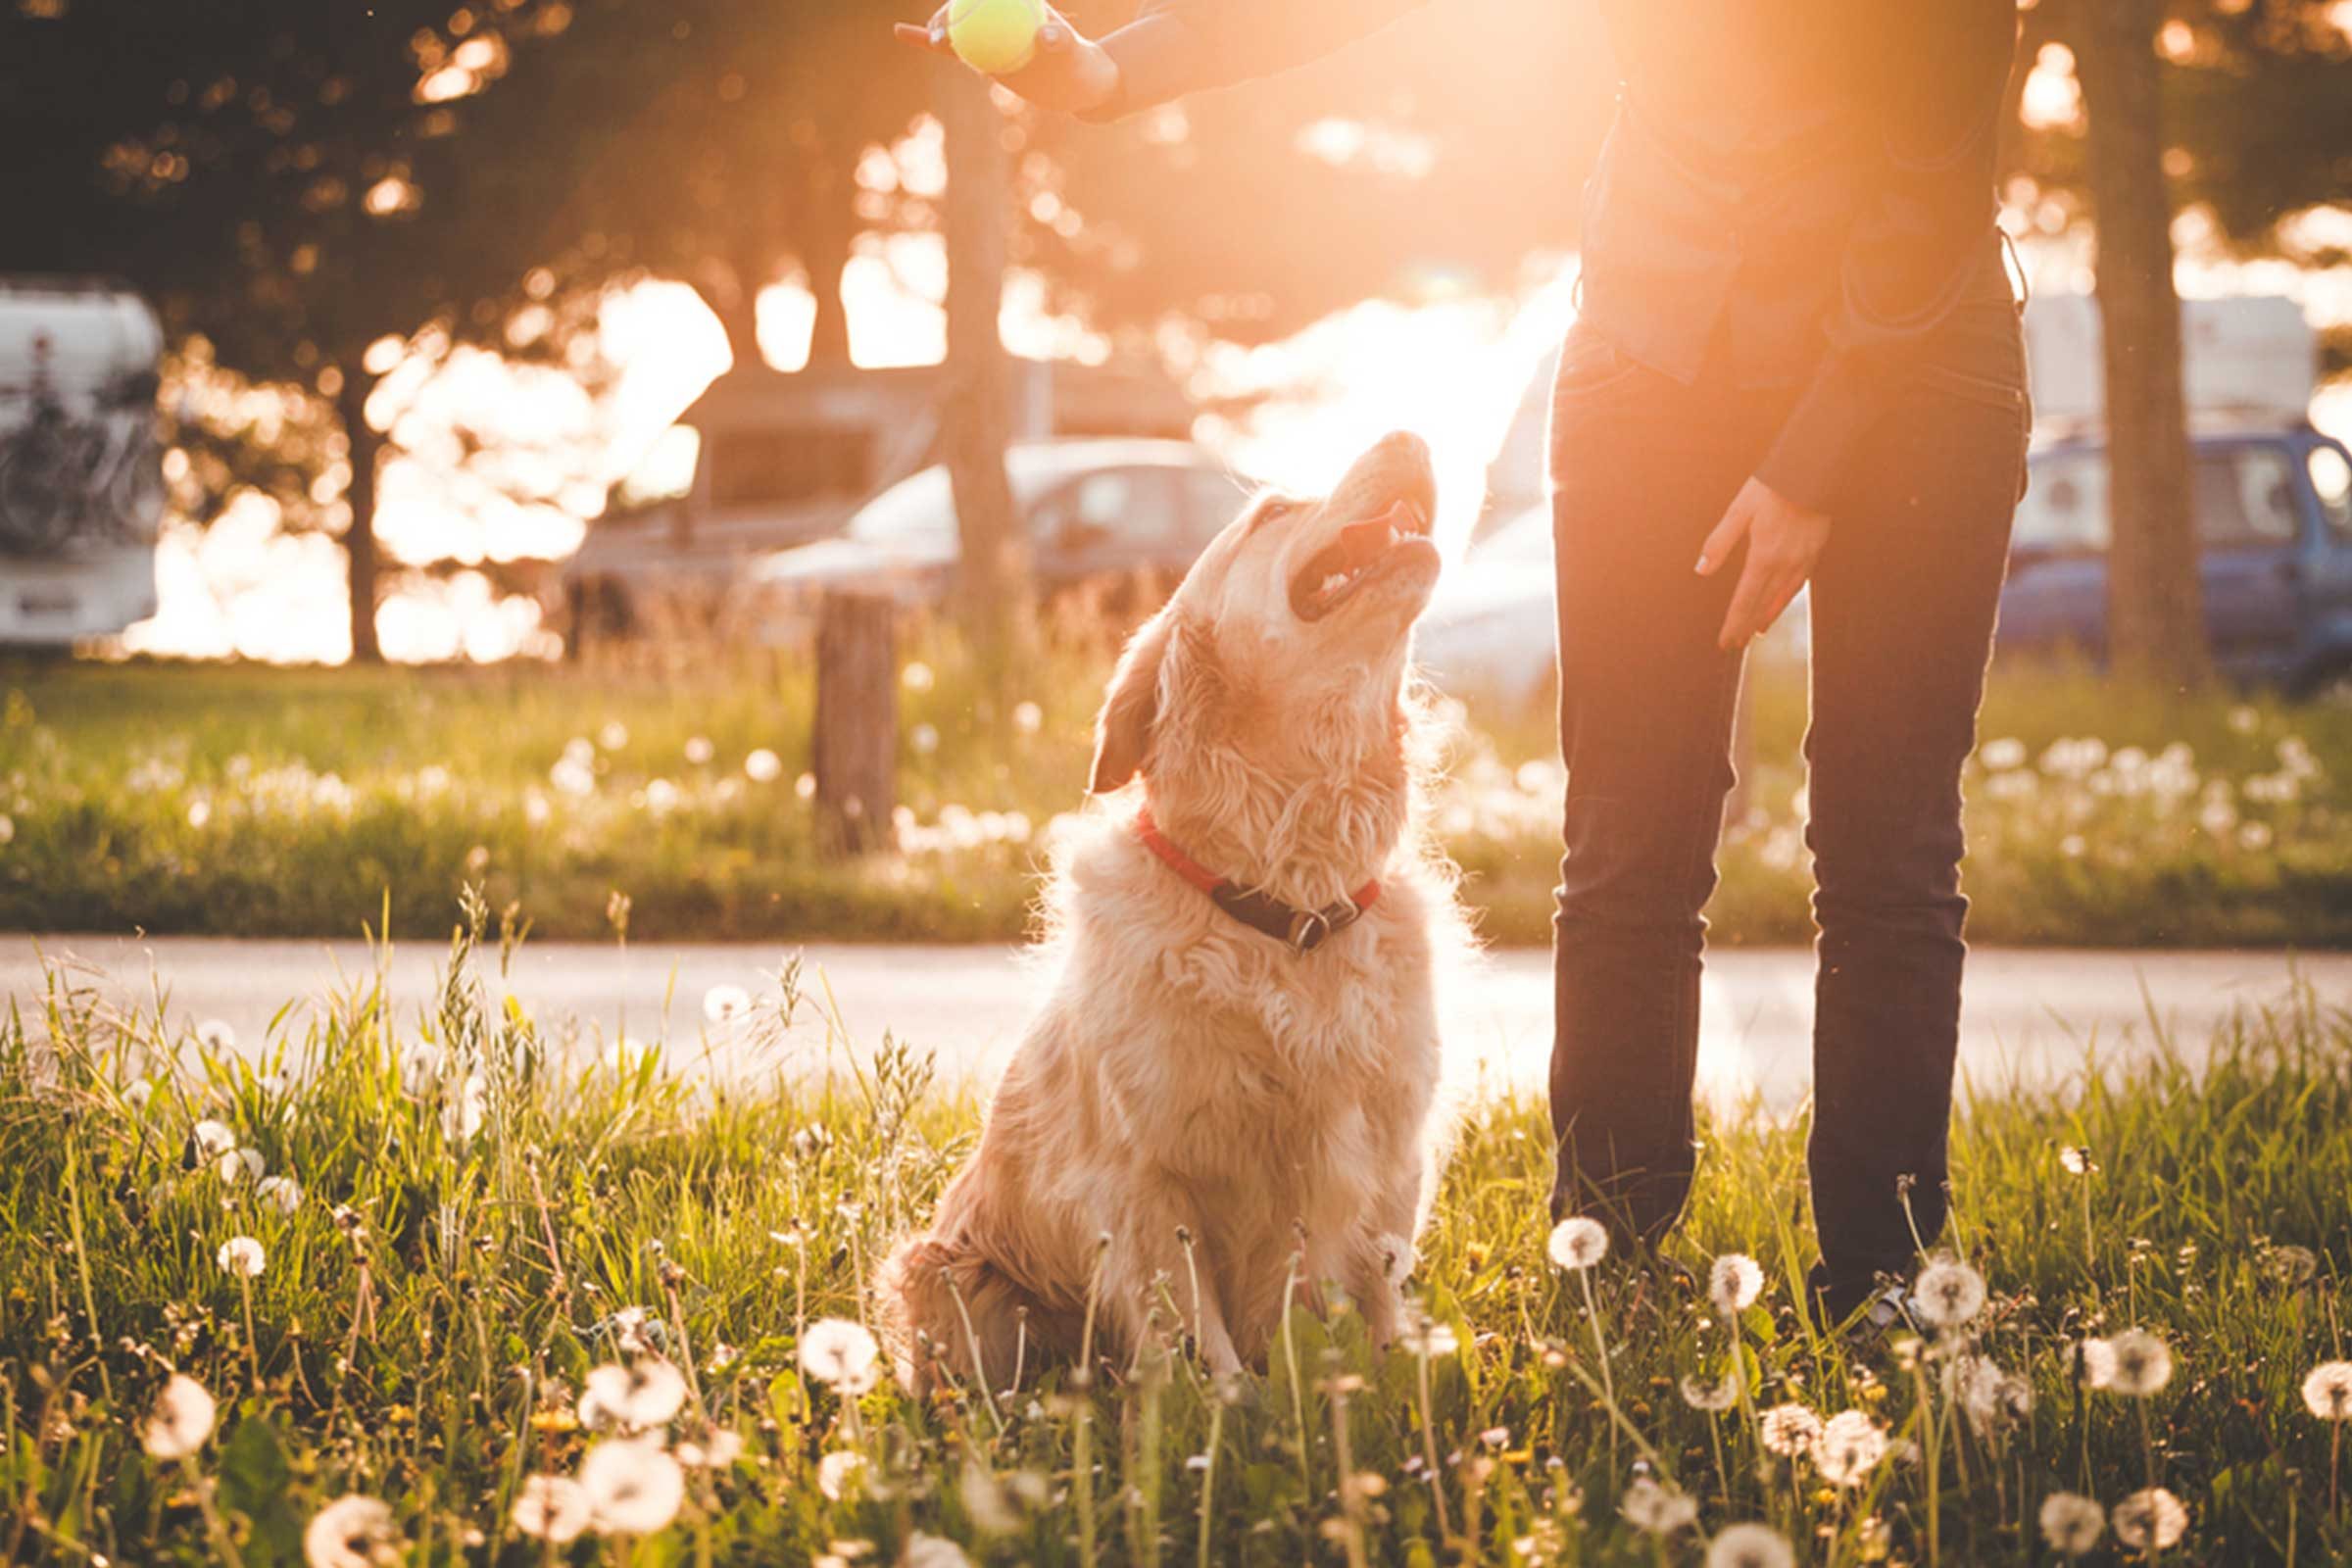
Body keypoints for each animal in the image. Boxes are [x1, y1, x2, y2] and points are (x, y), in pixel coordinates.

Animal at [884, 429, 1467, 1382]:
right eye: (1272, 513)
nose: (1410, 436)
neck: (1287, 903)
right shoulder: (1144, 1179)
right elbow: (1200, 1344)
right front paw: (1224, 1415)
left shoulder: (1388, 1159)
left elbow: (1377, 1311)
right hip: (951, 1276)